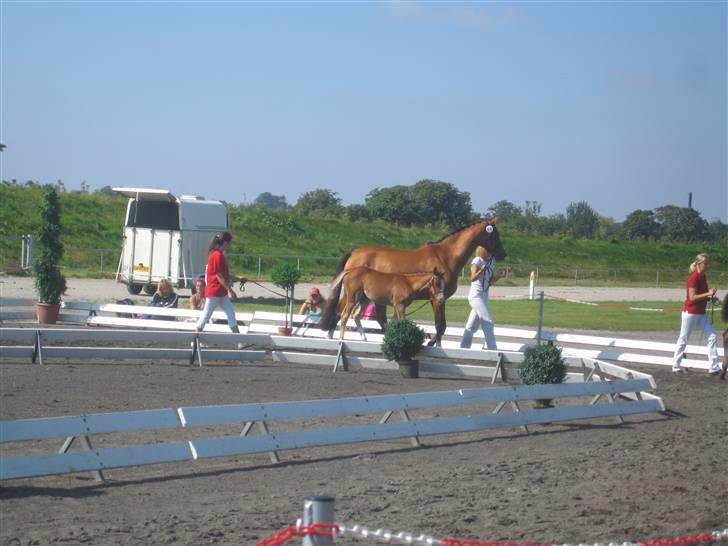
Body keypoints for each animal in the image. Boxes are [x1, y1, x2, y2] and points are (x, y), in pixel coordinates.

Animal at [320, 215, 506, 342]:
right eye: (494, 234)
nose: (503, 254)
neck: (445, 256)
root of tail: (354, 252)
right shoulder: (436, 298)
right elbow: (440, 326)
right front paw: (432, 343)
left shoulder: (441, 298)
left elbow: (442, 326)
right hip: (355, 294)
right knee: (341, 312)